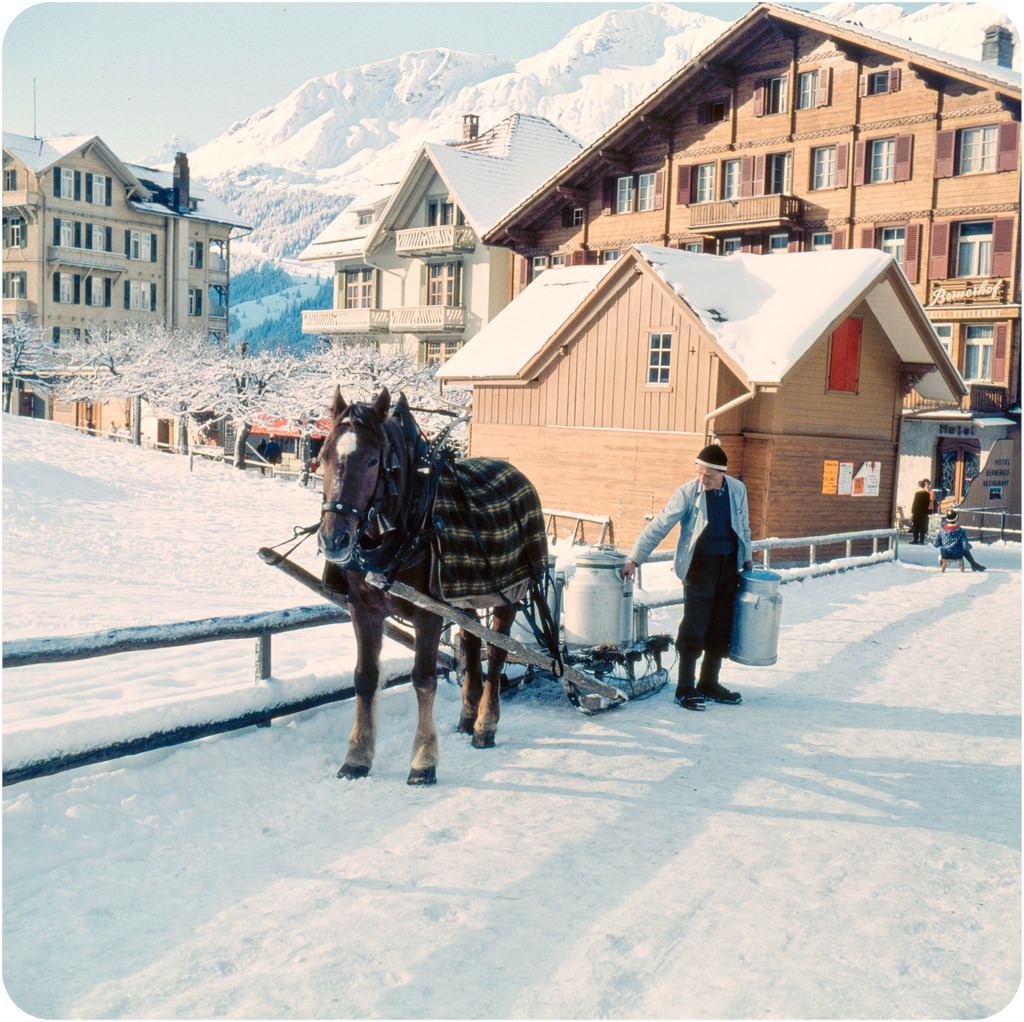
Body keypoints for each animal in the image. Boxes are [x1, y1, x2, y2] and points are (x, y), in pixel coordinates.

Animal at [317, 387, 552, 786]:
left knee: (497, 650)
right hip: (464, 593)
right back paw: (467, 716)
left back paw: (485, 725)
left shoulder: (428, 611)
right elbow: (365, 679)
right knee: (471, 642)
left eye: (373, 461)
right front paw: (357, 757)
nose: (334, 539)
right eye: (324, 456)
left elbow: (424, 680)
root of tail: (519, 475)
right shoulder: (362, 608)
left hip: (510, 592)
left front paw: (423, 761)